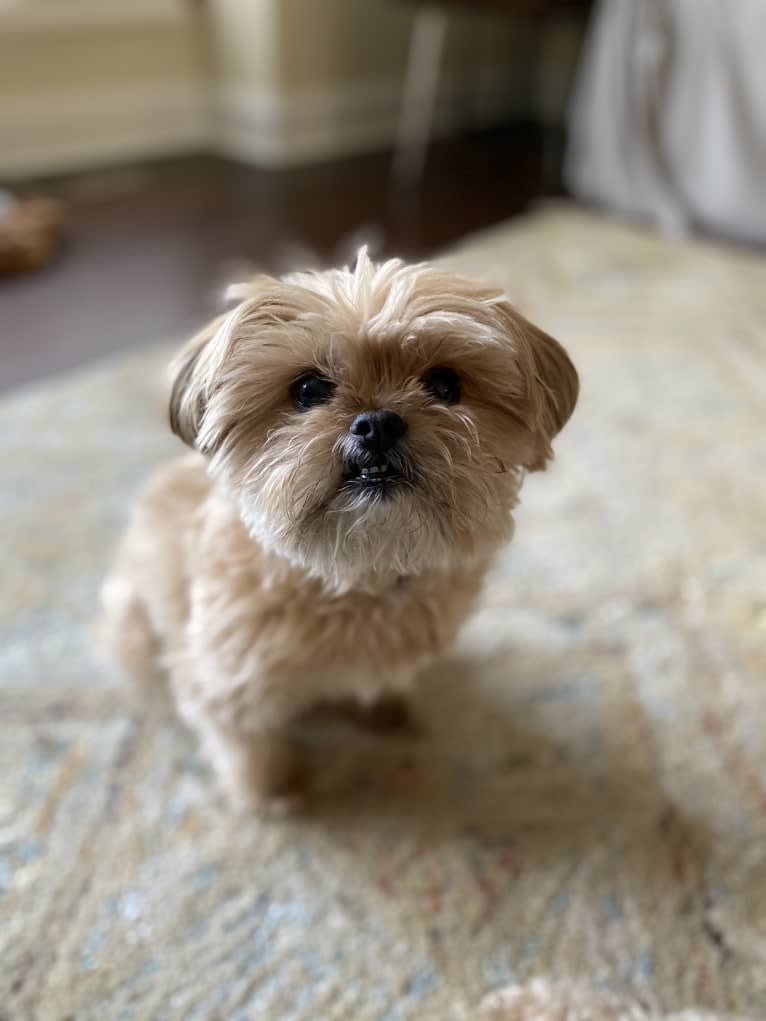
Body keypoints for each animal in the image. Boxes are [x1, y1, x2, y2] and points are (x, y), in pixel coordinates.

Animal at [103, 251, 580, 808]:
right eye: (309, 389)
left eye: (444, 385)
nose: (377, 423)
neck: (359, 572)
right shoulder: (226, 680)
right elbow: (248, 745)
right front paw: (272, 795)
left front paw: (389, 710)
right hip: (129, 625)